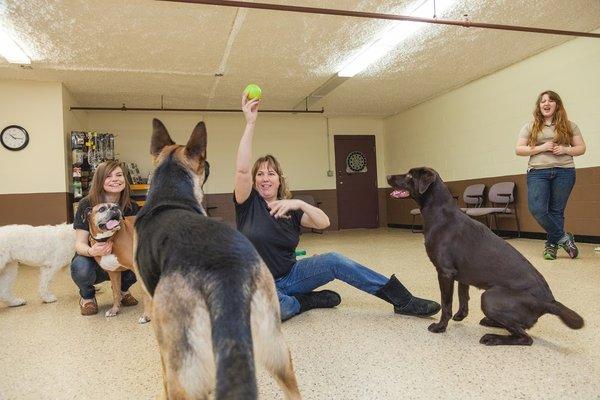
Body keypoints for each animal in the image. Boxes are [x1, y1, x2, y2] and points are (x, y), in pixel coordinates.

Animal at [386, 167, 584, 346]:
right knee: (519, 327)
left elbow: (446, 303)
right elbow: (463, 298)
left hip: (489, 298)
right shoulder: (461, 275)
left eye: (409, 175)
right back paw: (490, 322)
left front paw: (441, 327)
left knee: (525, 338)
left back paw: (492, 337)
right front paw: (460, 316)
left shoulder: (445, 272)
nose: (387, 176)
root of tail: (549, 302)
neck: (439, 214)